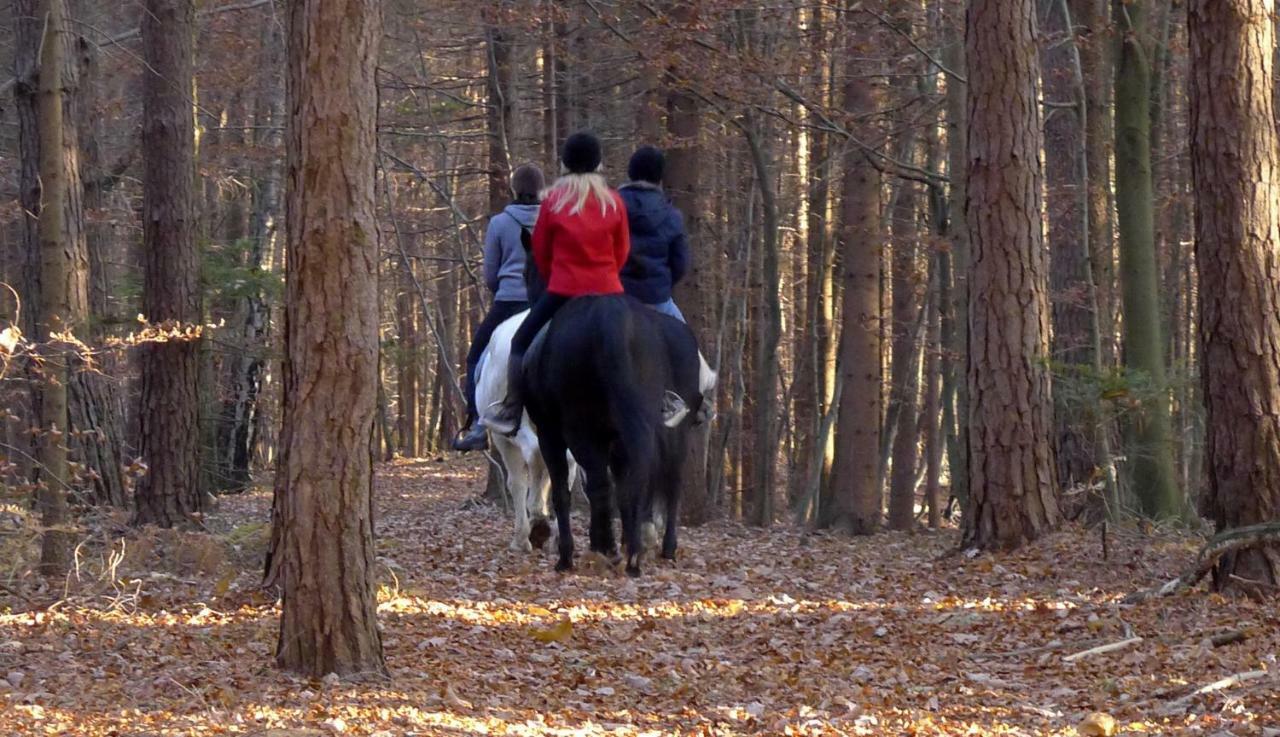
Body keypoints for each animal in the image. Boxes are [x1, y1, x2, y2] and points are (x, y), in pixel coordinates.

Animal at [473, 308, 578, 550]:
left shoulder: (503, 439)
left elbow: (517, 482)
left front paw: (521, 537)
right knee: (567, 462)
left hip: (517, 427)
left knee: (534, 453)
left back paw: (537, 518)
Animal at [517, 230, 711, 575]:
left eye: (528, 270)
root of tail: (614, 322)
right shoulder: (616, 436)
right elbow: (622, 485)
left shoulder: (552, 433)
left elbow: (565, 490)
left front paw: (574, 552)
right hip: (664, 426)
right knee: (660, 477)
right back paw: (649, 549)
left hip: (580, 428)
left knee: (599, 481)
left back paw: (602, 551)